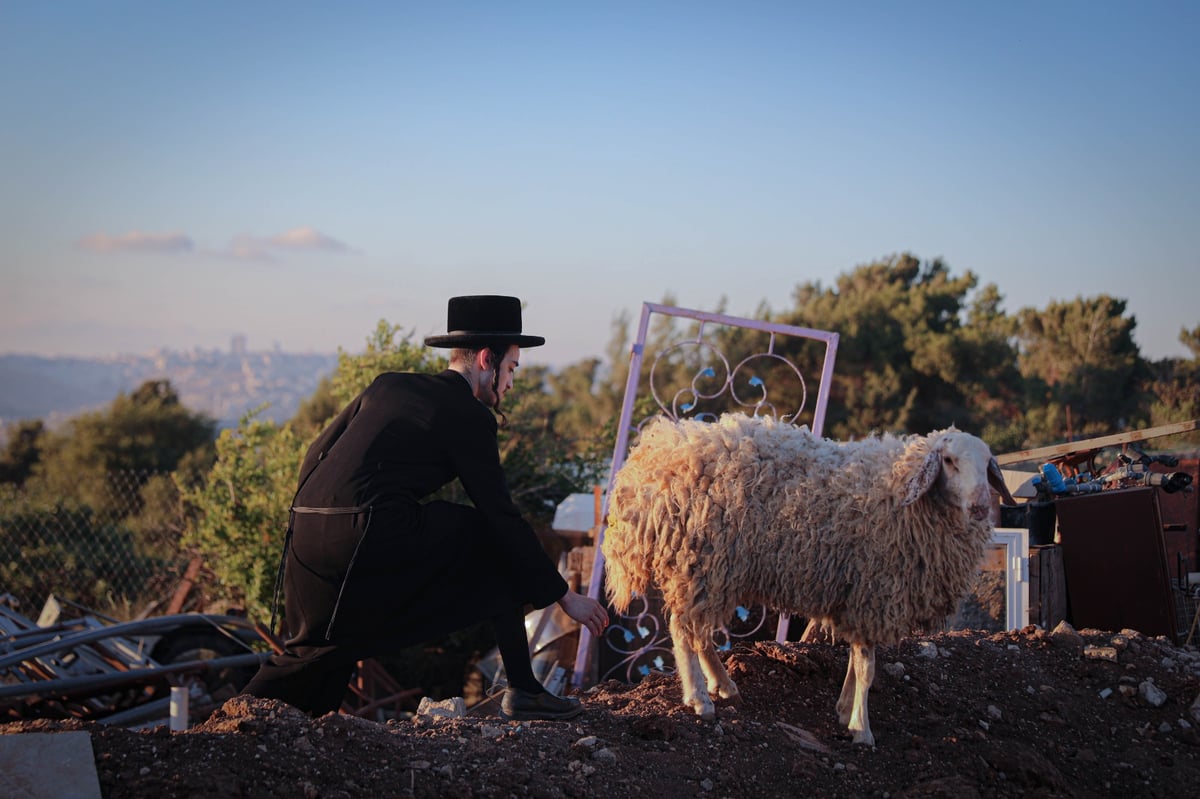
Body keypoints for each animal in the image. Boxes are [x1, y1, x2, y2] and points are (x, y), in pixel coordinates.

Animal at [600, 412, 1012, 743]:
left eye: (987, 464)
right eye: (949, 461)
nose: (980, 506)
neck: (904, 494)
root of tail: (654, 454)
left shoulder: (856, 597)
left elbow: (856, 662)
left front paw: (845, 710)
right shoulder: (872, 592)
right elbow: (867, 668)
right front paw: (862, 729)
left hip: (711, 572)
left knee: (697, 632)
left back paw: (724, 685)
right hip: (700, 562)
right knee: (683, 630)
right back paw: (700, 700)